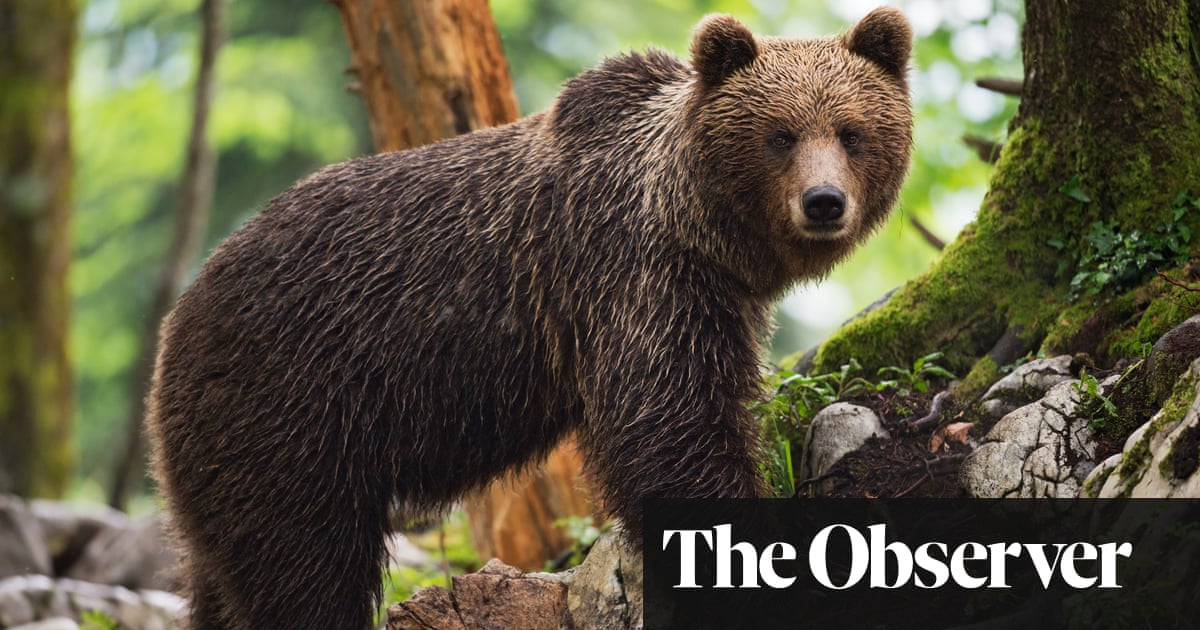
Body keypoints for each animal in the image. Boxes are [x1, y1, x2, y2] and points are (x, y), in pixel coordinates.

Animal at [147, 8, 912, 629]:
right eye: (780, 135)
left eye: (852, 132)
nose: (823, 202)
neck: (700, 228)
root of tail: (180, 314)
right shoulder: (636, 281)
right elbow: (670, 427)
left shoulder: (708, 295)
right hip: (288, 411)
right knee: (304, 567)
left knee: (222, 573)